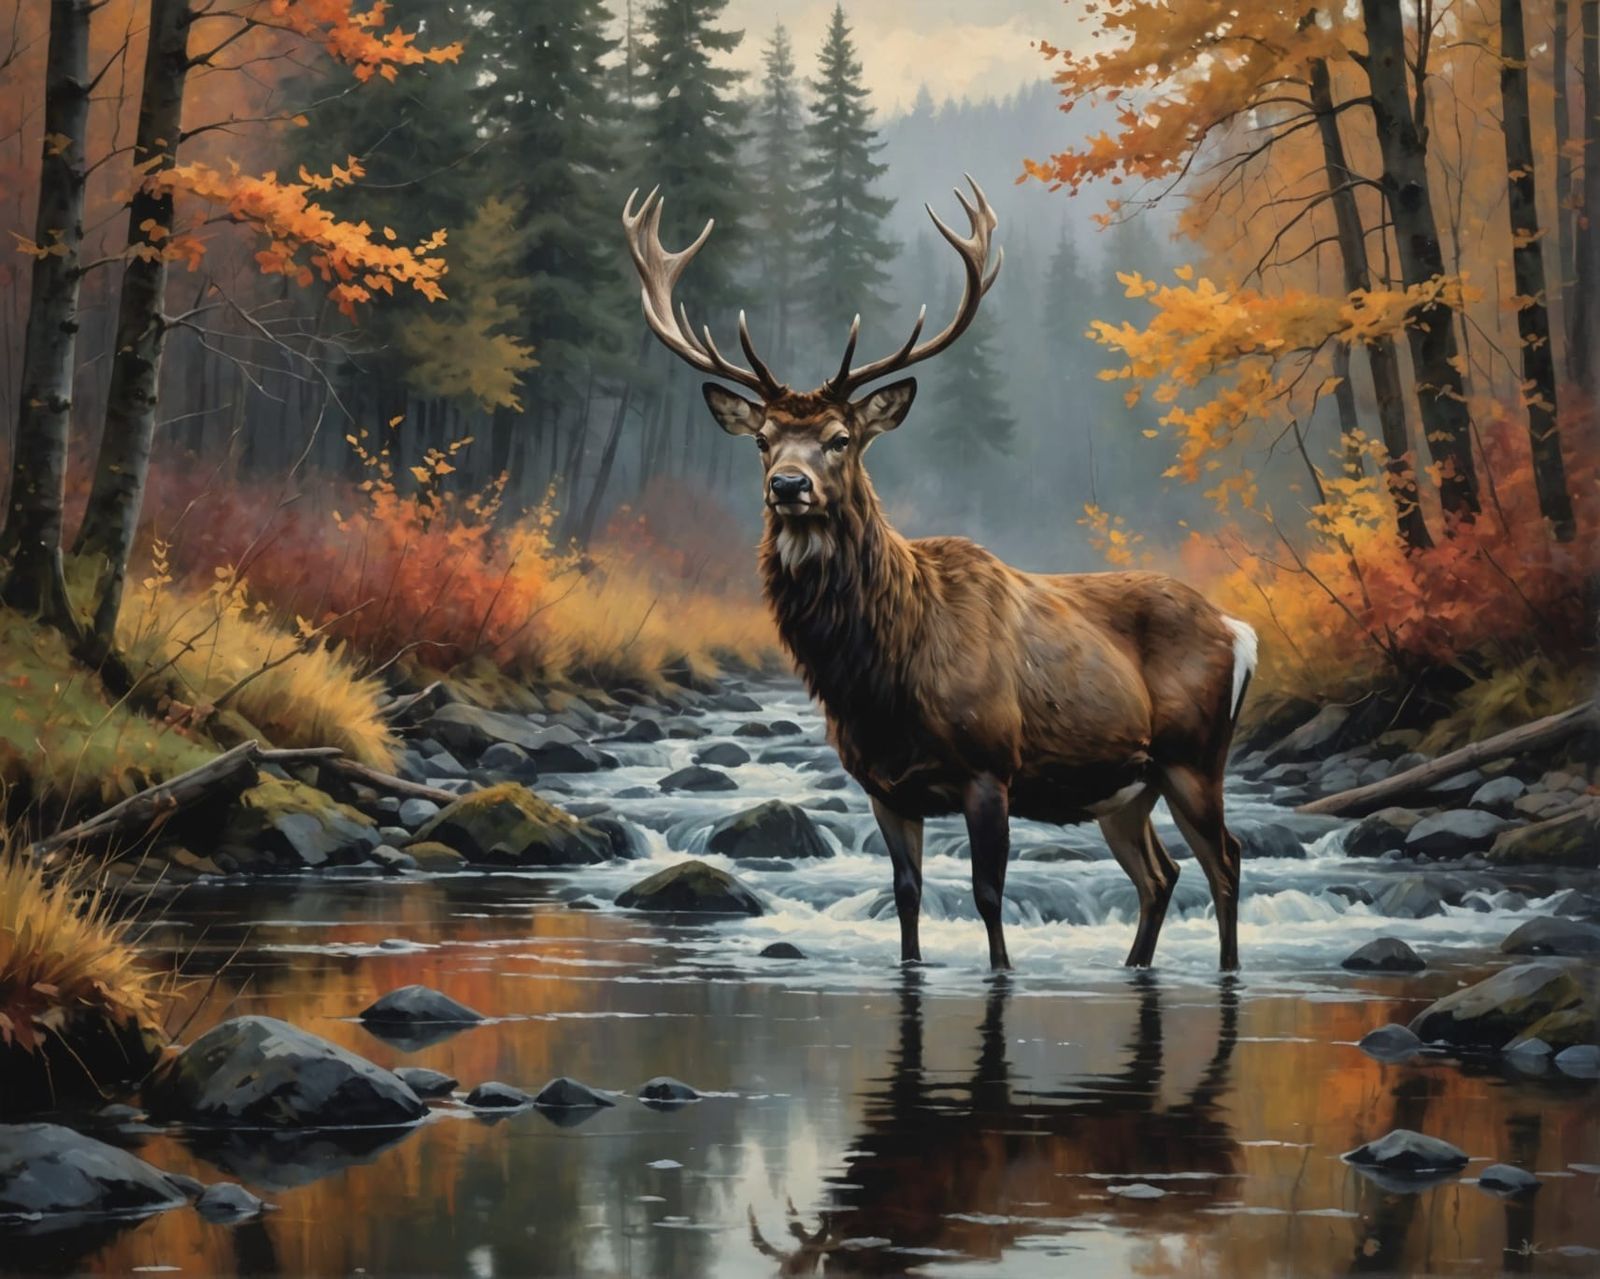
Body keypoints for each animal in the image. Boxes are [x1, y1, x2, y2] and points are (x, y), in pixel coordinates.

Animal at [621, 177, 1259, 972]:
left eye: (841, 438)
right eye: (763, 439)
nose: (788, 486)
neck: (884, 671)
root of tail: (1238, 628)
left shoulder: (990, 766)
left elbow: (988, 899)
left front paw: (1003, 972)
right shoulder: (883, 785)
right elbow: (906, 898)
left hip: (1195, 756)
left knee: (1225, 861)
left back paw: (1227, 970)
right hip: (1124, 788)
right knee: (1160, 873)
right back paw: (1133, 965)